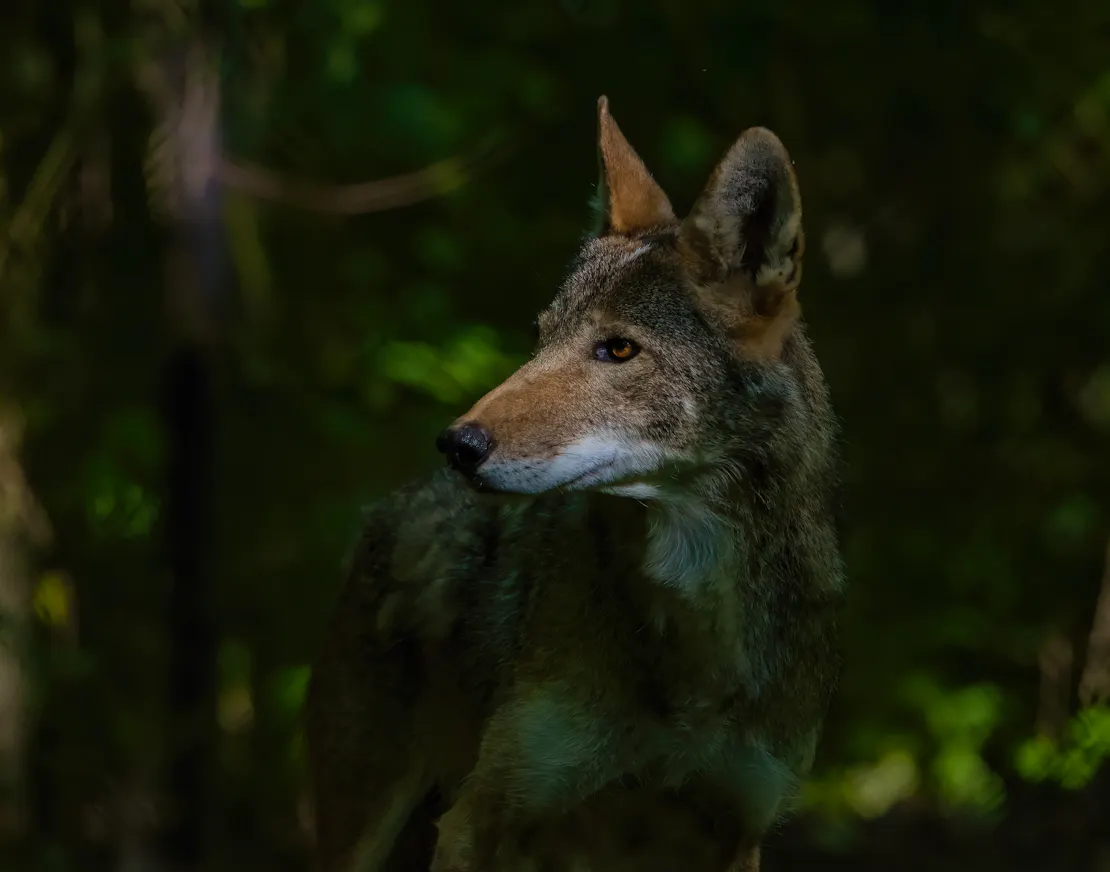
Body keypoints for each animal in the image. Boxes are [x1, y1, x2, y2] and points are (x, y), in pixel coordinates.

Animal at [305, 96, 845, 872]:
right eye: (541, 340)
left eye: (617, 349)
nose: (457, 445)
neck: (697, 637)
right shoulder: (483, 817)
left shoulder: (736, 832)